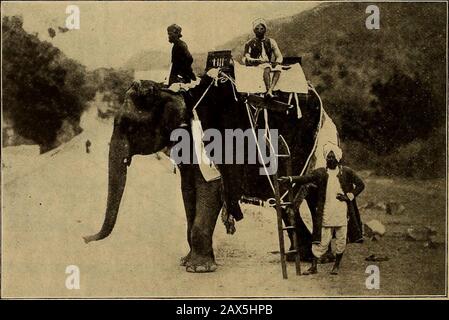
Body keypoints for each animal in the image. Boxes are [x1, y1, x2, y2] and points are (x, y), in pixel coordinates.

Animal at [85, 69, 328, 272]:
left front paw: (199, 269)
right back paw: (301, 257)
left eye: (130, 127)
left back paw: (315, 257)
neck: (177, 93)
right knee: (289, 205)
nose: (85, 239)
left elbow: (210, 187)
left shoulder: (212, 141)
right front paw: (187, 261)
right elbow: (187, 189)